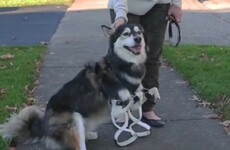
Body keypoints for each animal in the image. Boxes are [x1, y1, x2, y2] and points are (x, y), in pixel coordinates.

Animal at [0, 24, 150, 149]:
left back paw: (89, 135)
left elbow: (138, 97)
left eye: (139, 32)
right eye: (126, 34)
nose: (138, 39)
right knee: (78, 145)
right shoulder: (115, 100)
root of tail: (44, 129)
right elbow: (124, 100)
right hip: (73, 118)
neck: (120, 65)